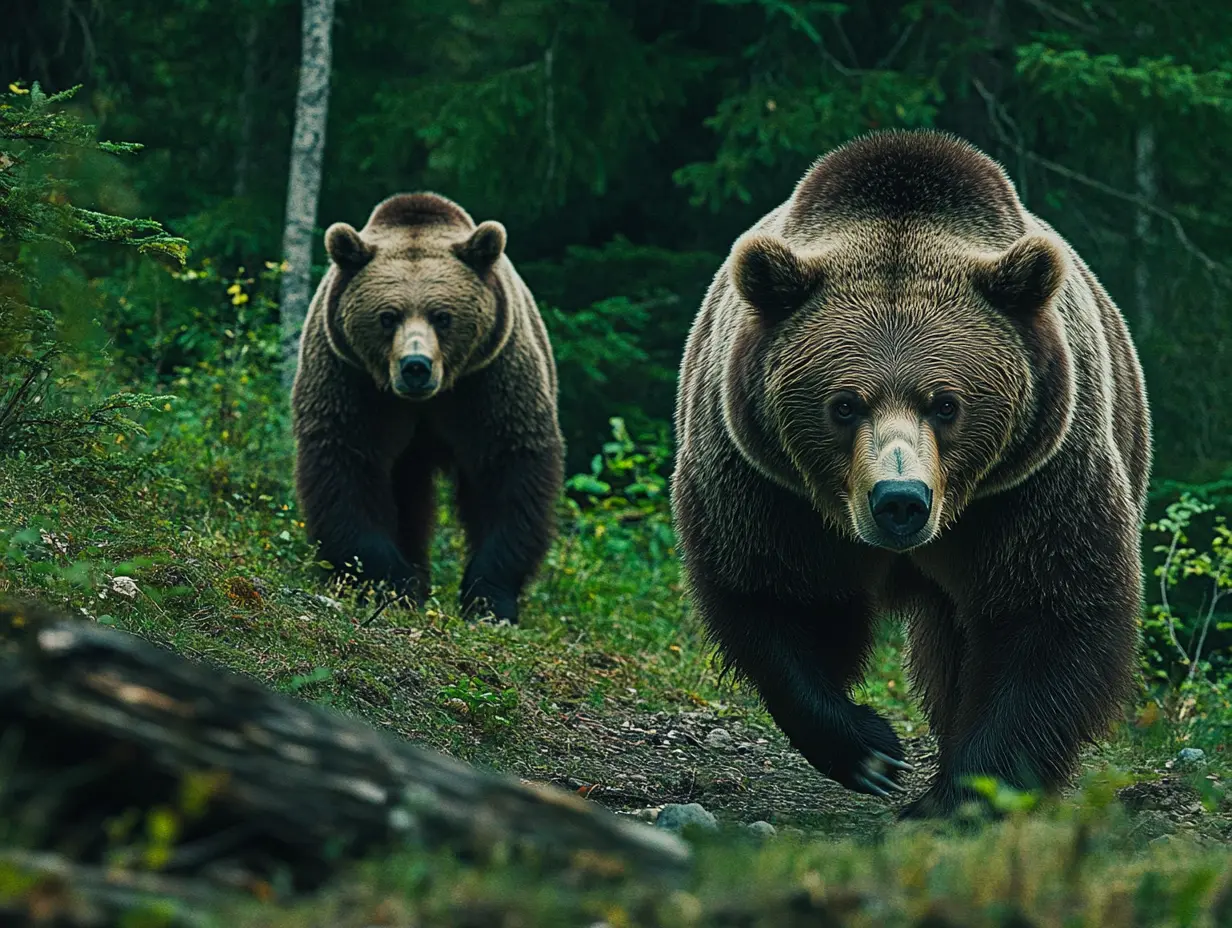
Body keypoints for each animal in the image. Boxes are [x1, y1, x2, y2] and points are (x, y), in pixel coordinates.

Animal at [291, 192, 565, 623]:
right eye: (388, 316)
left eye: (443, 316)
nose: (415, 366)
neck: (427, 401)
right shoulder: (351, 381)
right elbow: (346, 469)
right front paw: (392, 585)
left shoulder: (490, 381)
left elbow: (509, 472)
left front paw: (490, 600)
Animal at [671, 130, 1152, 818]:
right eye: (844, 405)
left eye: (946, 404)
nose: (900, 500)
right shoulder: (766, 482)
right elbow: (775, 589)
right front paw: (868, 749)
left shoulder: (1036, 483)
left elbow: (1049, 609)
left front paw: (961, 795)